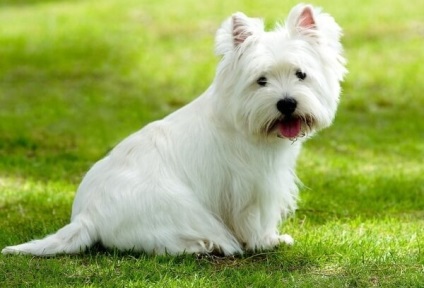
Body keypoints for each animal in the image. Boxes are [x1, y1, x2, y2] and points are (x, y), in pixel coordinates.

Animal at [3, 3, 346, 256]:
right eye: (261, 80)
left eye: (301, 74)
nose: (286, 103)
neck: (242, 121)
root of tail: (88, 217)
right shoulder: (253, 186)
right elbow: (255, 219)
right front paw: (268, 241)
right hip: (177, 206)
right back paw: (205, 244)